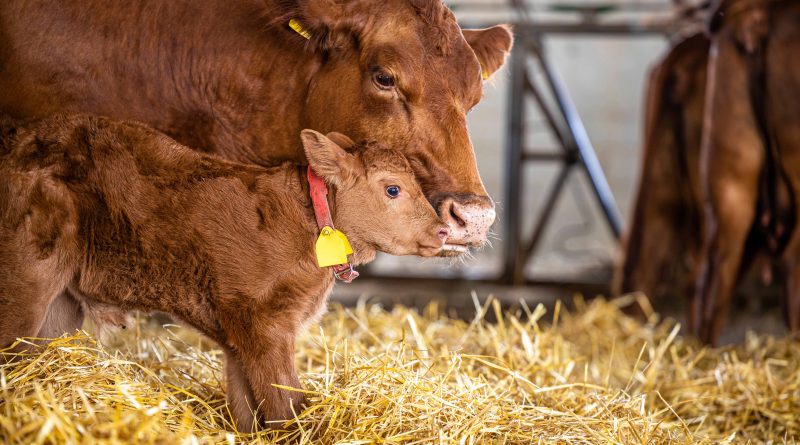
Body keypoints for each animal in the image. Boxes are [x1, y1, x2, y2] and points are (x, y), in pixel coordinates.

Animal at [0, 113, 449, 431]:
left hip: (60, 304)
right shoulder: (265, 324)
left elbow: (246, 410)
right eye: (393, 189)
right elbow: (285, 405)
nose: (443, 230)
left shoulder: (238, 333)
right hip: (25, 279)